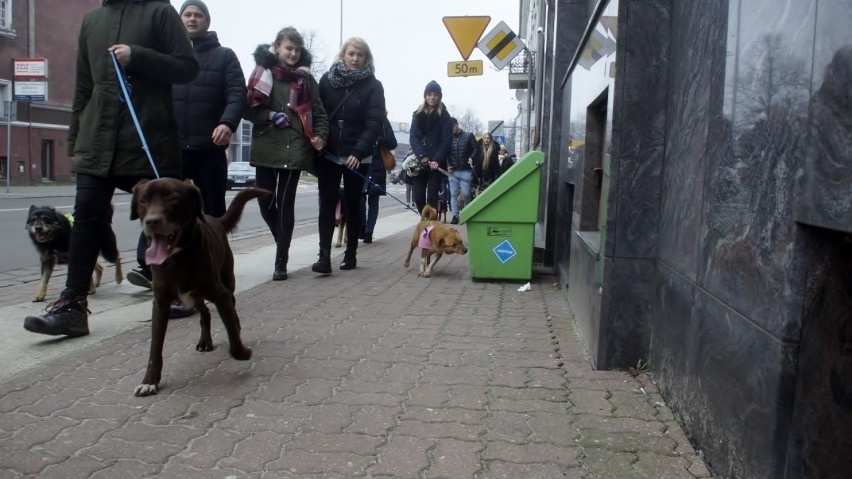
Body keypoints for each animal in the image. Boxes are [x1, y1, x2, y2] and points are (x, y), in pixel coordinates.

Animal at [129, 178, 270, 400]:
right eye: (143, 200)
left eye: (172, 198)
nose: (151, 221)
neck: (178, 256)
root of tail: (216, 220)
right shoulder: (160, 304)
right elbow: (155, 348)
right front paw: (149, 382)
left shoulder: (220, 294)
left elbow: (231, 330)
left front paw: (241, 352)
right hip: (194, 296)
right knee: (204, 313)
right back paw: (205, 341)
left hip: (226, 281)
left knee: (231, 309)